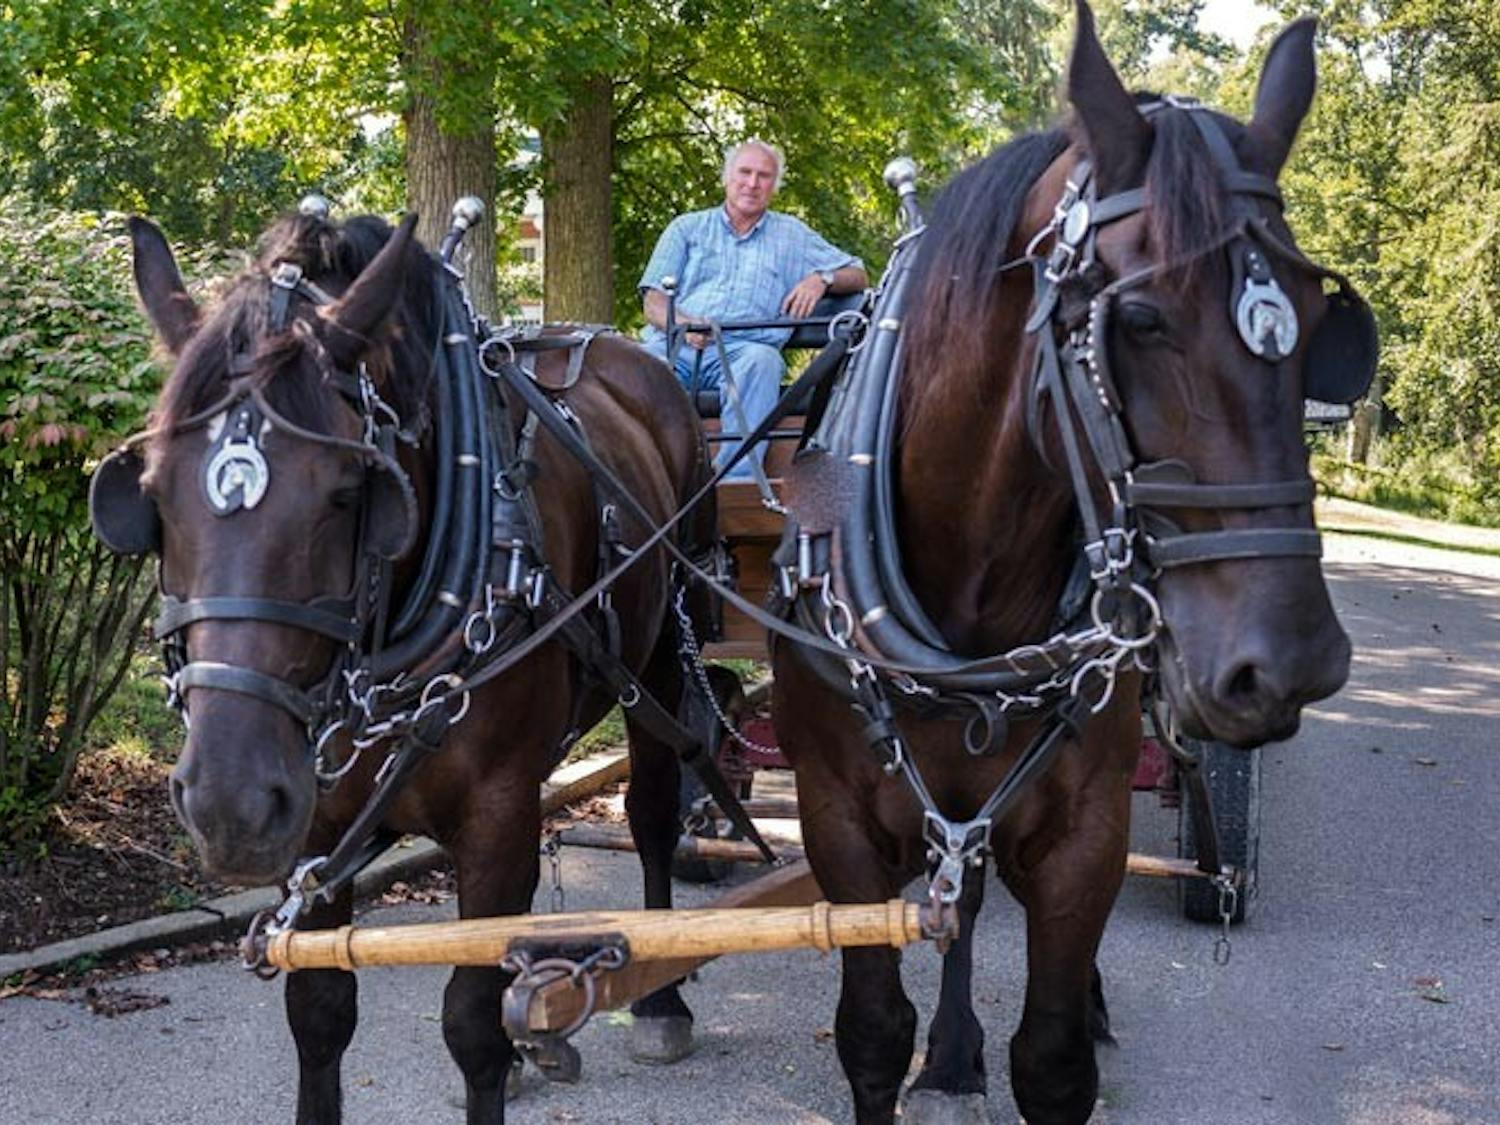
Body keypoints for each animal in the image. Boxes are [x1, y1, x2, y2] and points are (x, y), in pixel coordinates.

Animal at [94, 210, 712, 1123]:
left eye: (351, 492)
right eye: (152, 495)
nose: (229, 802)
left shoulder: (496, 817)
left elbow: (472, 1022)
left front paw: (513, 1037)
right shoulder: (316, 820)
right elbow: (318, 1012)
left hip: (663, 652)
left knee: (654, 810)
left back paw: (661, 997)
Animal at [771, 5, 1363, 1123]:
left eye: (1320, 323)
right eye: (1137, 318)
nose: (1291, 661)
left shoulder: (1083, 833)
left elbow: (1051, 1059)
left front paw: (1054, 1020)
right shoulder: (838, 823)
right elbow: (872, 1032)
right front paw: (923, 1042)